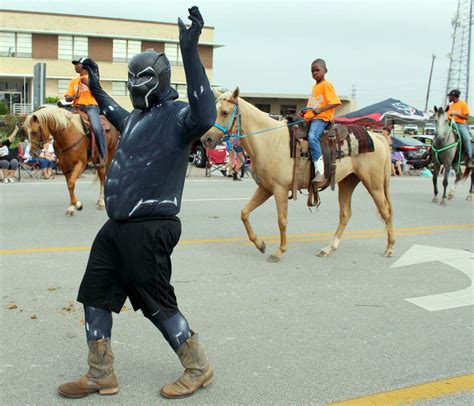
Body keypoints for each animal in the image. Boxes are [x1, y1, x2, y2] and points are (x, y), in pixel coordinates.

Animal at [202, 87, 394, 262]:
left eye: (225, 112)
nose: (206, 140)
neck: (270, 140)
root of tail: (378, 138)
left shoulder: (279, 189)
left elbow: (282, 220)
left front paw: (279, 251)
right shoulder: (266, 188)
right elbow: (244, 213)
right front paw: (260, 244)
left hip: (374, 183)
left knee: (385, 211)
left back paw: (390, 248)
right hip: (348, 181)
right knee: (345, 214)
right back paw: (328, 248)